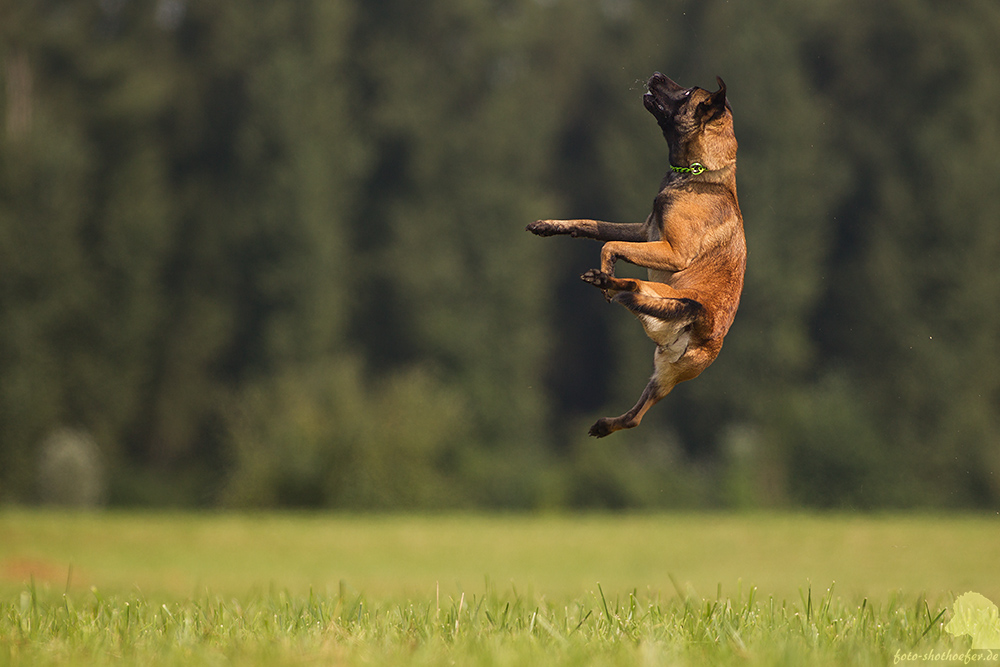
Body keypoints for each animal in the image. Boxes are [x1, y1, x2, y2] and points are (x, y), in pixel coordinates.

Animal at [532, 73, 744, 438]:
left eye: (687, 92)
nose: (657, 75)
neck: (701, 174)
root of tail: (699, 316)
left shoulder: (672, 253)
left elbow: (608, 246)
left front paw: (604, 268)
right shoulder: (645, 232)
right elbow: (591, 225)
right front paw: (549, 226)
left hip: (665, 295)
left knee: (633, 286)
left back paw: (606, 280)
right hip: (664, 374)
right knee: (635, 418)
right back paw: (604, 425)